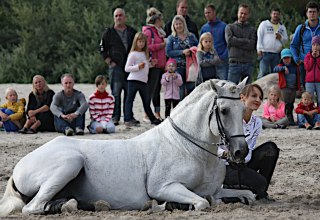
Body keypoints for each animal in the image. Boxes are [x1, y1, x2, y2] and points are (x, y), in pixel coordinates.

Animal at [0, 78, 255, 215]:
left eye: (243, 110)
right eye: (224, 110)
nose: (241, 151)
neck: (188, 148)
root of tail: (19, 166)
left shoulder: (215, 190)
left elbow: (248, 195)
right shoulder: (164, 187)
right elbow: (202, 202)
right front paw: (167, 205)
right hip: (70, 163)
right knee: (32, 207)